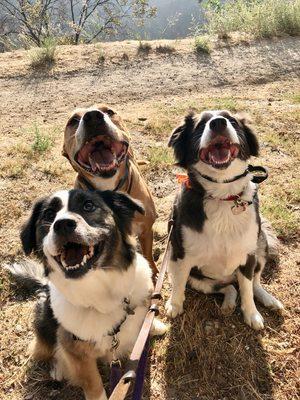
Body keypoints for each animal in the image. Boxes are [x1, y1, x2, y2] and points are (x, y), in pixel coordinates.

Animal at [7, 190, 166, 400]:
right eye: (49, 214)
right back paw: (57, 368)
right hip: (44, 318)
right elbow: (93, 385)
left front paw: (153, 326)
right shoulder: (77, 352)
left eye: (88, 206)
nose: (62, 224)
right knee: (44, 347)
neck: (101, 292)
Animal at [166, 108, 284, 328]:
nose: (218, 123)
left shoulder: (248, 255)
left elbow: (247, 290)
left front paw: (252, 314)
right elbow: (178, 283)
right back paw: (228, 304)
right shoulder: (180, 257)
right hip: (199, 280)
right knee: (229, 288)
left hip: (261, 246)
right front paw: (174, 305)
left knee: (253, 284)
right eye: (200, 125)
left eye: (233, 121)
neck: (222, 195)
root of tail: (229, 278)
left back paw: (268, 300)